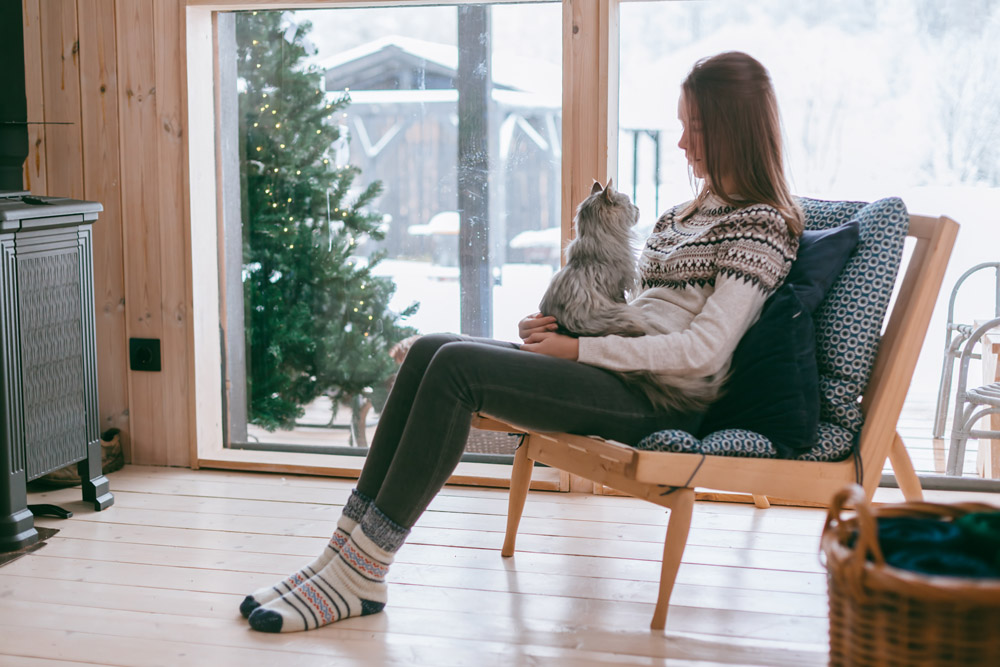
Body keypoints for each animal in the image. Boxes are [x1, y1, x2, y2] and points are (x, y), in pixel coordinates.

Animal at [540, 180, 720, 414]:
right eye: (628, 203)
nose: (638, 208)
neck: (595, 239)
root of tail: (569, 330)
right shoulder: (619, 289)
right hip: (630, 315)